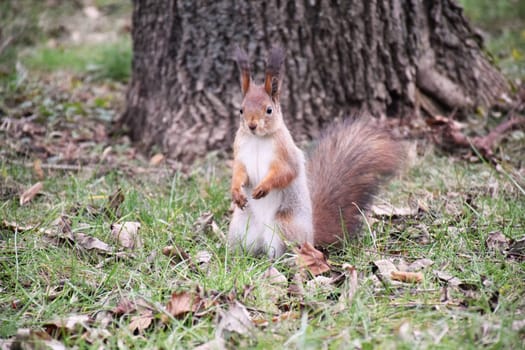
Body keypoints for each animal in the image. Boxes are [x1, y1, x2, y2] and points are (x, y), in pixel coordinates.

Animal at [227, 46, 404, 258]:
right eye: (241, 110)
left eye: (269, 110)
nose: (252, 126)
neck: (257, 139)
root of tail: (311, 235)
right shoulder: (240, 153)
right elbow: (238, 172)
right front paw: (236, 192)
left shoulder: (286, 154)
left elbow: (286, 172)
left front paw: (263, 187)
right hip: (240, 229)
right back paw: (239, 257)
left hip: (284, 226)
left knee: (285, 250)